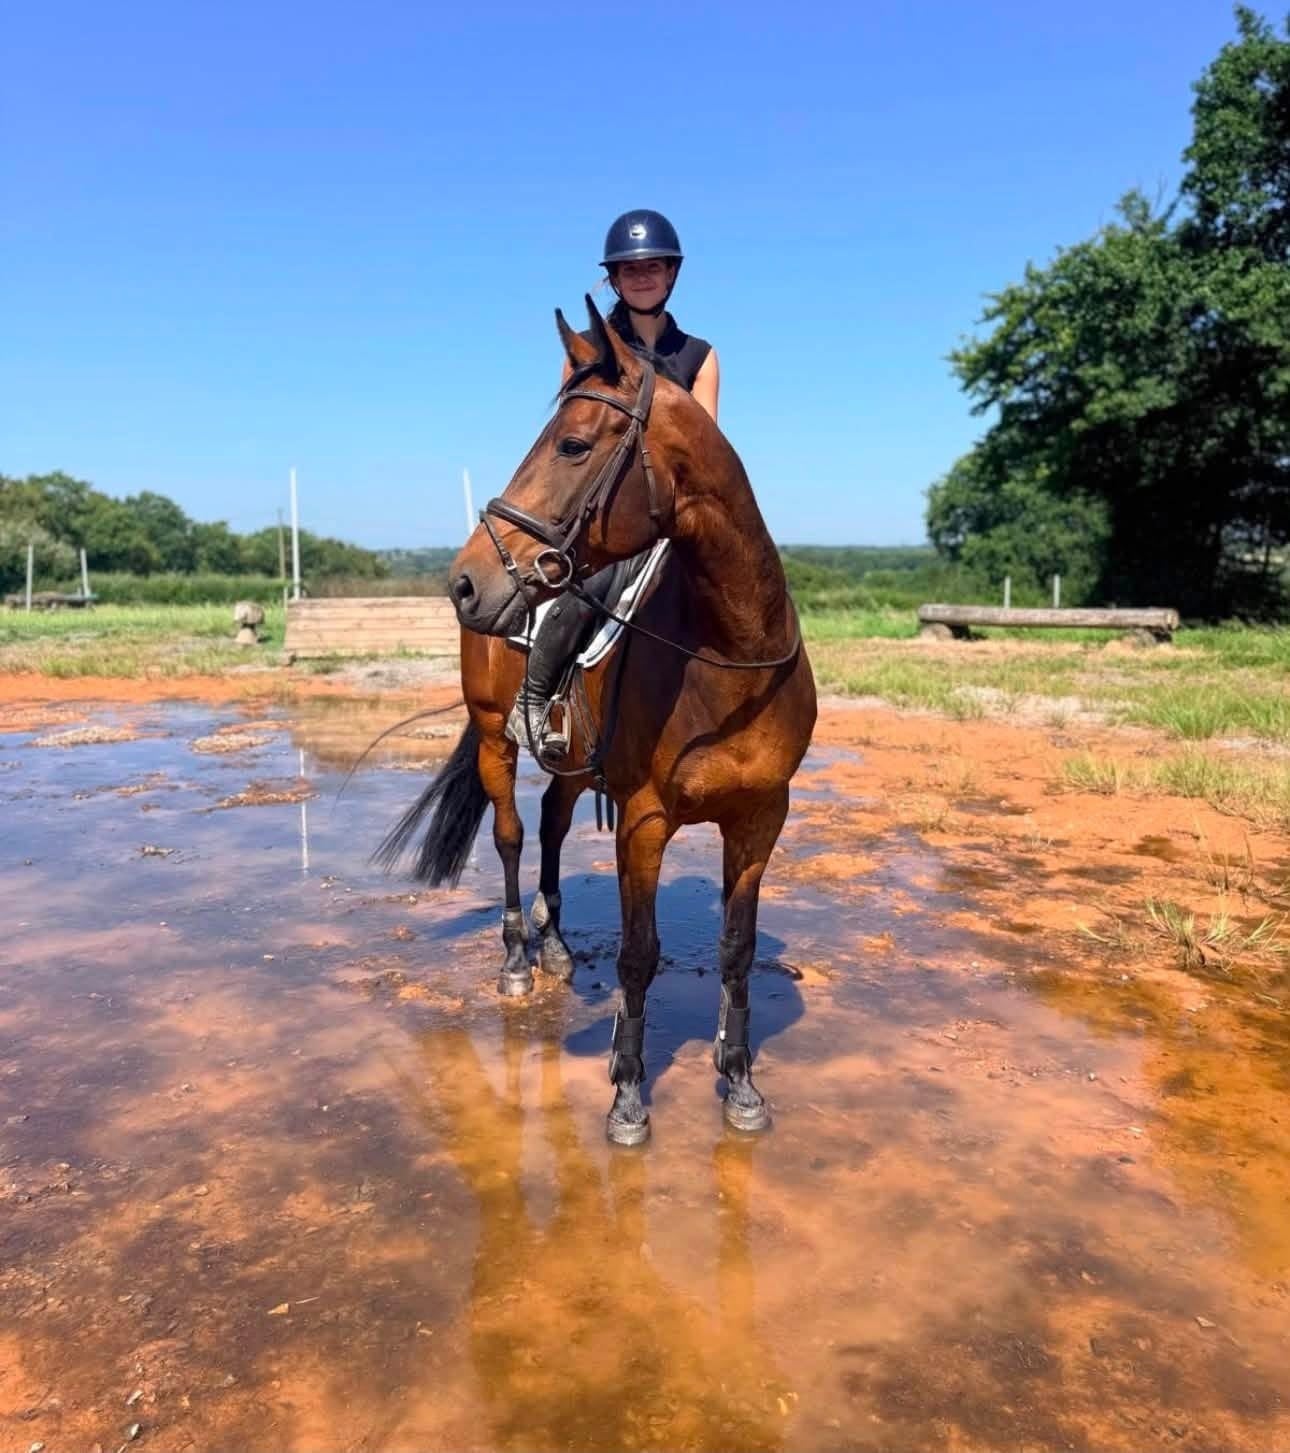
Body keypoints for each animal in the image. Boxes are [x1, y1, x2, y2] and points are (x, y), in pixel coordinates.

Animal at [378, 296, 816, 1145]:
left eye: (573, 444)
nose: (465, 582)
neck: (729, 653)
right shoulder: (644, 821)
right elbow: (639, 955)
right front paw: (628, 1091)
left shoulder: (759, 817)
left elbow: (737, 949)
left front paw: (740, 1082)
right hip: (495, 736)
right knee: (514, 836)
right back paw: (519, 959)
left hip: (576, 763)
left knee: (551, 821)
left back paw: (553, 947)